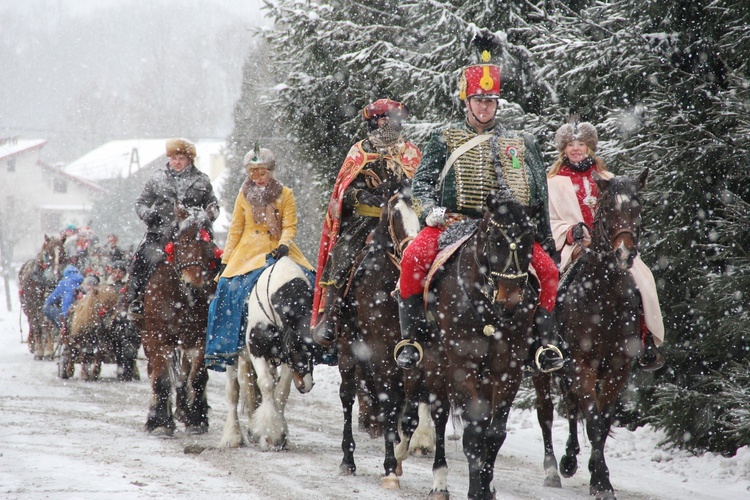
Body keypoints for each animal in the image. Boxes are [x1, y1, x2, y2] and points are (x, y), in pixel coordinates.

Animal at [222, 258, 318, 450]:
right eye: (296, 346)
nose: (307, 384)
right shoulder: (256, 349)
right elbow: (266, 384)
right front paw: (271, 435)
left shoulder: (286, 359)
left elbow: (281, 390)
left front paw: (280, 435)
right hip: (232, 357)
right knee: (234, 391)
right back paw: (234, 436)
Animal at [338, 181, 438, 488]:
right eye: (395, 215)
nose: (414, 258)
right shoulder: (380, 353)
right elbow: (389, 406)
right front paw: (391, 468)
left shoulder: (413, 357)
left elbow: (410, 415)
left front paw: (400, 456)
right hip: (347, 349)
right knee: (347, 396)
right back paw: (347, 460)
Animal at [400, 193, 540, 500]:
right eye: (495, 239)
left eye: (530, 240)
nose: (510, 302)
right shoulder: (463, 366)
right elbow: (473, 431)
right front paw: (476, 489)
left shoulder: (508, 371)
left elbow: (495, 432)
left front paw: (486, 486)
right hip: (435, 363)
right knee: (438, 415)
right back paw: (437, 481)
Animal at [536, 170, 652, 498]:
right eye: (608, 209)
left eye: (638, 207)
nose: (624, 253)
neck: (603, 296)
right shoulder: (581, 365)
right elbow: (593, 420)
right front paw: (600, 480)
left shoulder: (616, 369)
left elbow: (603, 418)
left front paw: (597, 475)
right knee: (546, 412)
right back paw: (553, 468)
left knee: (572, 407)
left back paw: (571, 458)